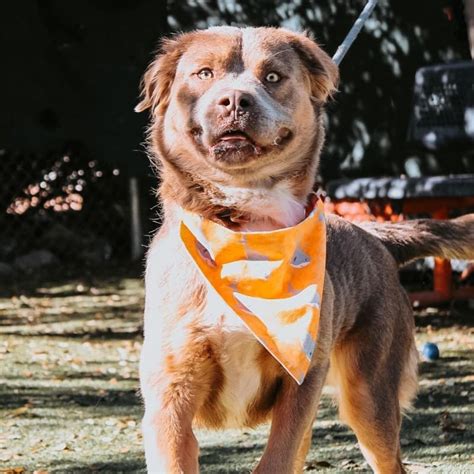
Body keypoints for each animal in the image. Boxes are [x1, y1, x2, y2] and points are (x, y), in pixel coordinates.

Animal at [136, 26, 474, 474]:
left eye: (273, 77)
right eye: (204, 73)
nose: (236, 101)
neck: (248, 229)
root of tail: (374, 235)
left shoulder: (302, 384)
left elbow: (275, 458)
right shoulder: (169, 396)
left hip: (370, 397)